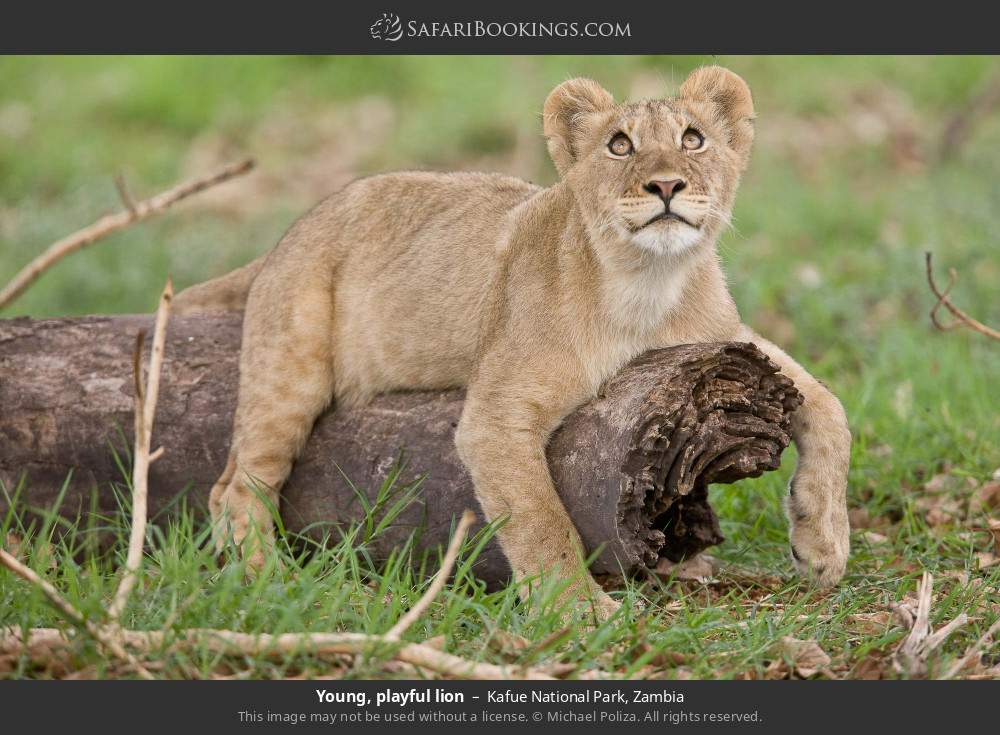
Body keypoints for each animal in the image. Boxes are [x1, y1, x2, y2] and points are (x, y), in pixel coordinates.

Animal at [174, 66, 851, 619]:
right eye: (620, 145)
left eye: (693, 138)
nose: (665, 186)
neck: (648, 285)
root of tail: (290, 233)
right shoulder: (496, 416)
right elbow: (540, 517)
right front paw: (578, 609)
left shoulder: (728, 337)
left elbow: (827, 404)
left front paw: (823, 544)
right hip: (290, 367)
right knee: (233, 488)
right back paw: (269, 581)